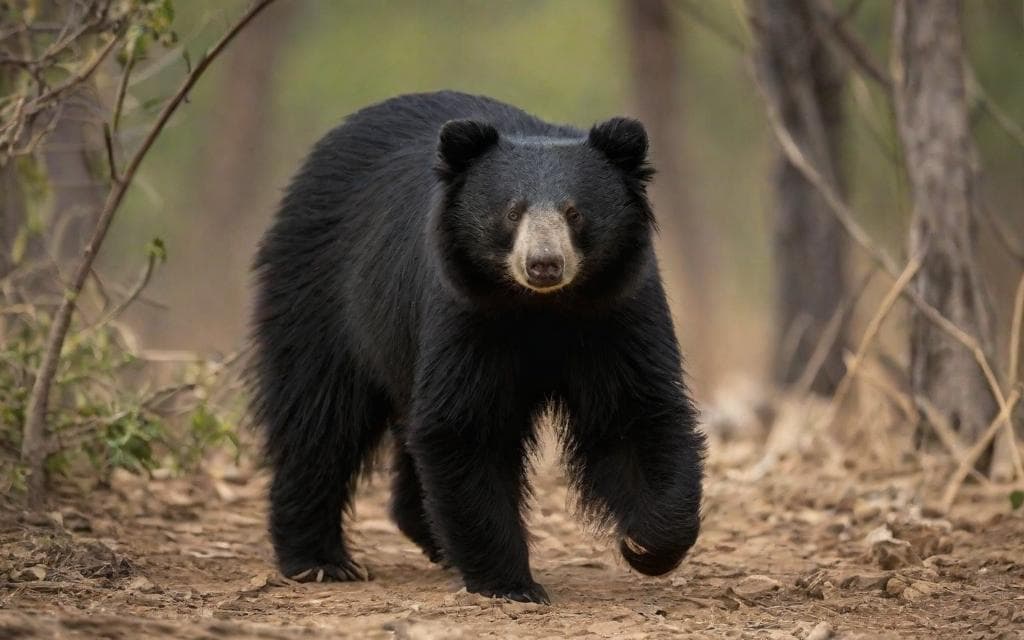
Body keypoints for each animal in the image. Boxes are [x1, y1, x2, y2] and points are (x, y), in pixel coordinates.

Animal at [248, 91, 704, 604]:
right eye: (512, 211)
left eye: (574, 213)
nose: (544, 264)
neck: (544, 308)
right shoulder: (466, 310)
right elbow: (466, 428)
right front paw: (512, 584)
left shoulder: (618, 310)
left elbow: (633, 415)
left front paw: (646, 543)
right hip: (322, 292)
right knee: (319, 415)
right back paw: (320, 561)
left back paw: (429, 536)